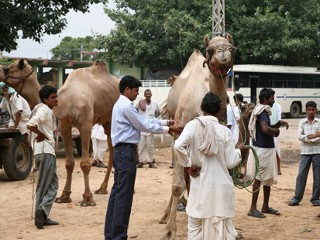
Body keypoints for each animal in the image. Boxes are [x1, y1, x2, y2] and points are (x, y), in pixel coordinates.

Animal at [54, 60, 120, 206]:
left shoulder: (85, 125)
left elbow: (85, 164)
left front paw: (88, 198)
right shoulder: (64, 126)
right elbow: (69, 163)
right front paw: (64, 196)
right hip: (107, 122)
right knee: (112, 148)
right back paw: (102, 188)